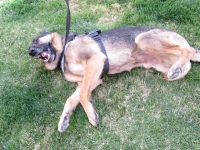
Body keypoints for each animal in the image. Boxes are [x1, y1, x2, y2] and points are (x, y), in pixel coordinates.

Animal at [28, 26, 200, 132]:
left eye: (35, 40)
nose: (30, 51)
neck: (63, 52)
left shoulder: (95, 60)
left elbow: (83, 95)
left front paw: (91, 115)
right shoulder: (92, 79)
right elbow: (71, 100)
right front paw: (64, 119)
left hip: (143, 39)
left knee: (188, 50)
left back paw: (177, 66)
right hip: (162, 65)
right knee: (186, 63)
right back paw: (176, 69)